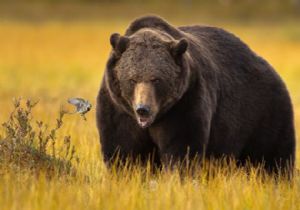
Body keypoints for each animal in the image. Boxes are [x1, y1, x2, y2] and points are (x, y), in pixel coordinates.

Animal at [96, 14, 296, 175]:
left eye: (156, 79)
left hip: (261, 111)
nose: (143, 109)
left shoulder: (185, 102)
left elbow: (181, 148)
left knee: (272, 158)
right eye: (132, 79)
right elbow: (123, 151)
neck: (156, 118)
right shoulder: (118, 108)